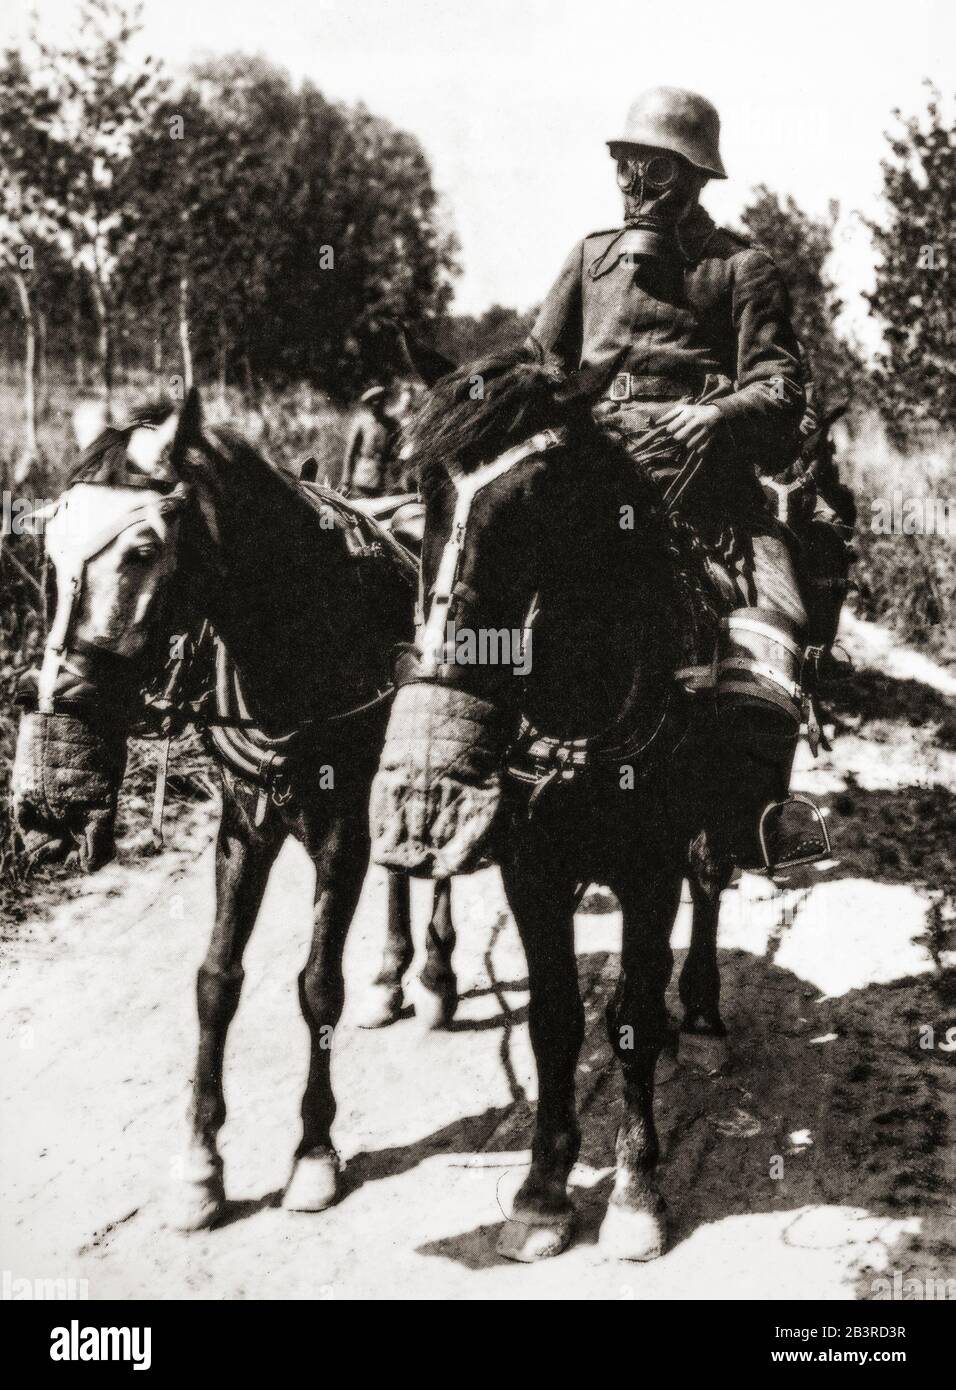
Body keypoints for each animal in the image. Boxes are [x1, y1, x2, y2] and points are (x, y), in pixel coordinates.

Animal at [10, 389, 452, 1228]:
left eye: (142, 550)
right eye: (48, 549)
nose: (61, 696)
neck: (301, 631)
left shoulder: (340, 830)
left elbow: (318, 986)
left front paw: (314, 1152)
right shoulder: (243, 823)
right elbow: (216, 979)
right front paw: (199, 1164)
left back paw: (438, 974)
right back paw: (394, 976)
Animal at [369, 347, 733, 1262]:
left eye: (538, 495)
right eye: (424, 483)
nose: (451, 664)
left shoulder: (649, 868)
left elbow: (629, 1017)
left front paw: (636, 1189)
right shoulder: (530, 867)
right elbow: (555, 1020)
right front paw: (542, 1191)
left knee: (709, 888)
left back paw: (701, 1017)